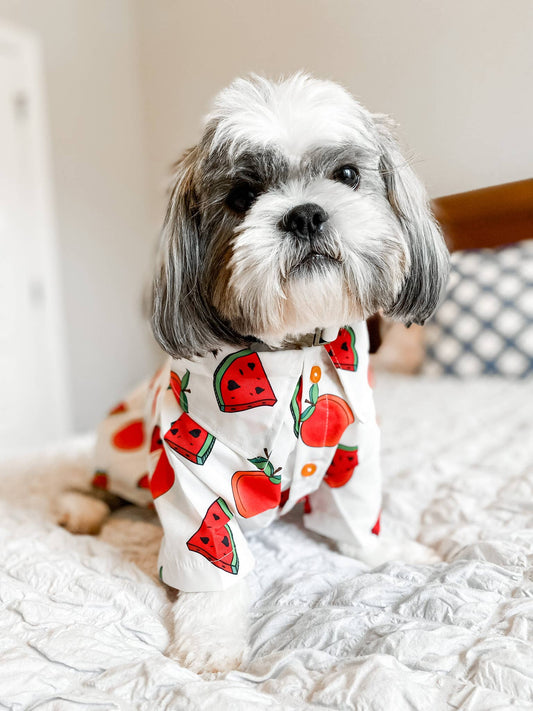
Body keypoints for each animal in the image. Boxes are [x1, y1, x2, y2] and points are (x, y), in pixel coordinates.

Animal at [57, 75, 448, 676]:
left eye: (347, 175)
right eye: (242, 196)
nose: (305, 214)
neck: (296, 347)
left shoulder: (354, 448)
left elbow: (358, 517)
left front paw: (386, 550)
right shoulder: (188, 466)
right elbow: (212, 565)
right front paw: (211, 638)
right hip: (122, 450)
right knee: (98, 482)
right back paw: (81, 506)